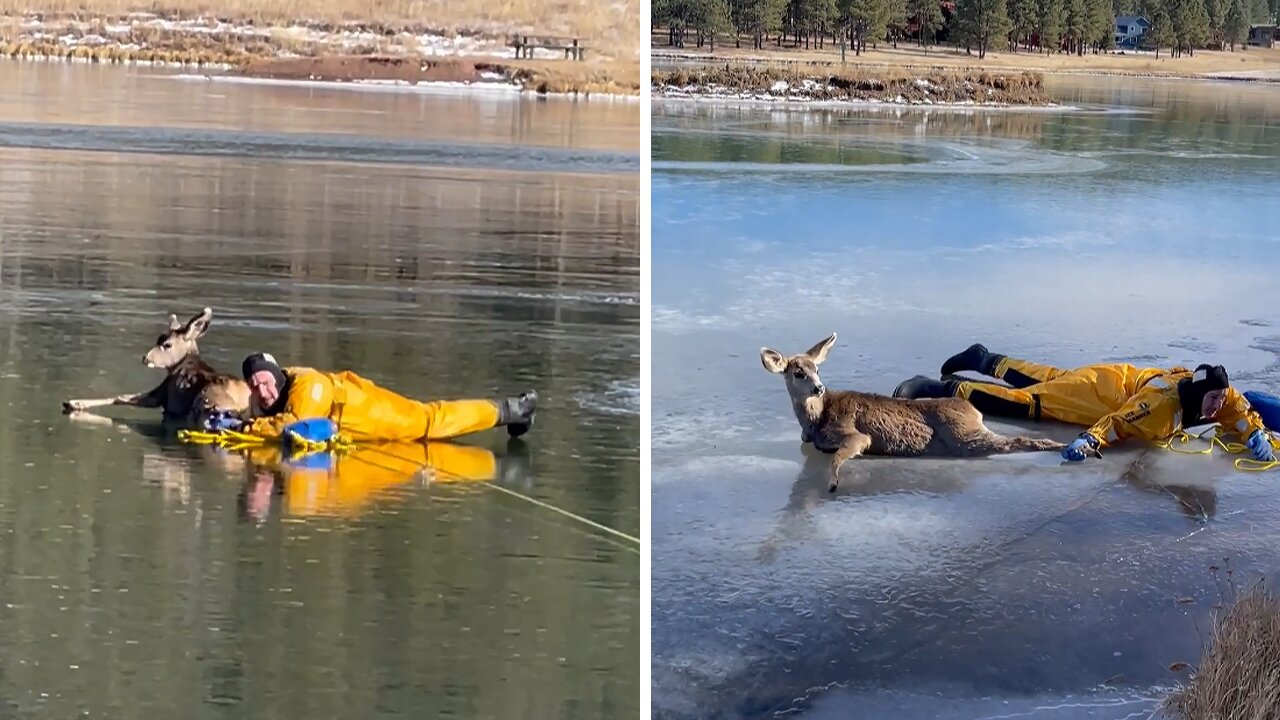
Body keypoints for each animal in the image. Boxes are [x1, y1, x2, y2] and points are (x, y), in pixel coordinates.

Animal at [63, 304, 254, 427]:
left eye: (167, 344)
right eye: (157, 339)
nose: (145, 358)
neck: (184, 362)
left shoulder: (163, 391)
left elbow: (121, 397)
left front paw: (74, 402)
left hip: (206, 401)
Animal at [752, 333, 1064, 489]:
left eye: (817, 369)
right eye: (798, 372)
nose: (819, 388)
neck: (815, 421)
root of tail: (971, 409)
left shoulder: (855, 434)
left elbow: (839, 457)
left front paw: (833, 484)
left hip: (964, 436)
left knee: (1016, 441)